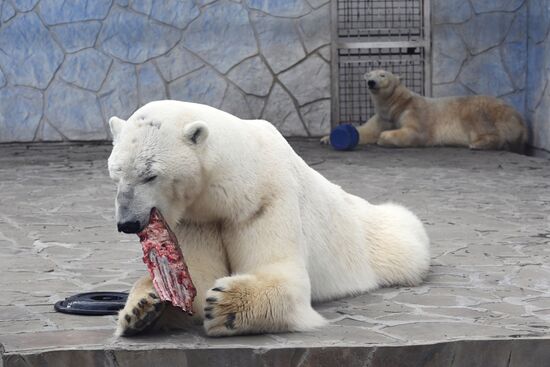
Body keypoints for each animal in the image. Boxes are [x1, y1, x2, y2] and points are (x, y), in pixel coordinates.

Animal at [108, 101, 432, 340]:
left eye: (150, 175)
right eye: (116, 172)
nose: (127, 223)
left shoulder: (265, 199)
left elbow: (282, 274)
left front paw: (225, 304)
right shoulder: (196, 218)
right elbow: (195, 276)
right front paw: (144, 307)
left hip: (380, 237)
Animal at [324, 69, 532, 153]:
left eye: (382, 74)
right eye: (368, 74)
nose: (371, 82)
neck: (396, 104)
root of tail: (520, 120)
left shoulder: (414, 111)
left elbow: (415, 132)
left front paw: (384, 137)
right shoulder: (384, 116)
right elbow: (365, 130)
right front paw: (327, 138)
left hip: (480, 109)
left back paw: (478, 143)